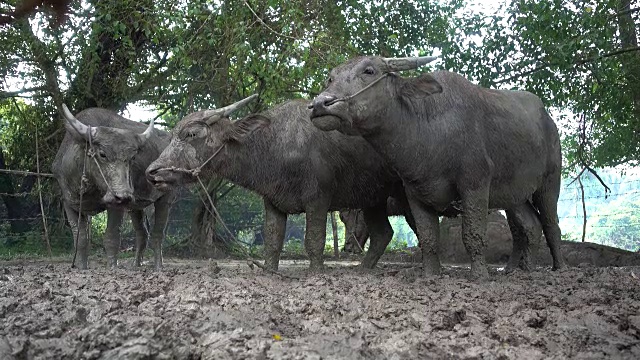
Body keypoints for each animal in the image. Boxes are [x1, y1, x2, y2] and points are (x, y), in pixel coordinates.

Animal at [52, 104, 174, 270]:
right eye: (102, 154)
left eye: (132, 158)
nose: (124, 195)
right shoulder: (69, 203)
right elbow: (81, 239)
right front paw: (82, 267)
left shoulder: (116, 205)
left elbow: (111, 237)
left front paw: (112, 267)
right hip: (136, 206)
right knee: (142, 233)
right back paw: (136, 264)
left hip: (164, 198)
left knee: (157, 234)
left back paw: (158, 266)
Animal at [145, 95, 416, 270]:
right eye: (172, 135)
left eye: (191, 134)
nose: (152, 172)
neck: (276, 146)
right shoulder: (273, 202)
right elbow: (272, 242)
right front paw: (270, 271)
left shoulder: (318, 200)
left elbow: (313, 242)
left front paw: (317, 273)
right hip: (373, 198)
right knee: (383, 234)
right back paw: (363, 270)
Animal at [310, 54, 564, 278]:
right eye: (331, 78)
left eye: (369, 71)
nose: (321, 104)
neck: (430, 131)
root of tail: (548, 121)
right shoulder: (413, 192)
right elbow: (428, 236)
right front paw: (431, 274)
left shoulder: (475, 183)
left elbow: (472, 232)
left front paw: (479, 275)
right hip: (514, 195)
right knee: (531, 226)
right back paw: (524, 269)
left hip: (549, 183)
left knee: (550, 225)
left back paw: (558, 268)